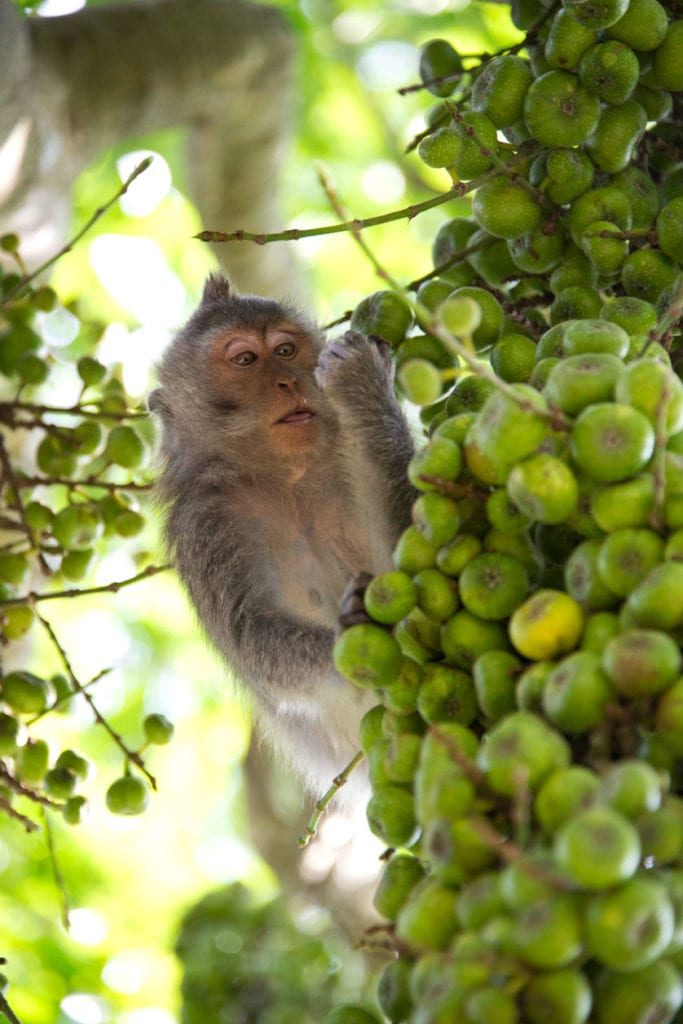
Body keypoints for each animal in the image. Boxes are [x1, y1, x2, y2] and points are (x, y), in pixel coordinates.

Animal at [150, 276, 417, 802]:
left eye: (286, 349)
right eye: (246, 359)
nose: (290, 381)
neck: (286, 478)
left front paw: (360, 382)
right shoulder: (205, 526)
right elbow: (251, 633)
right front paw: (350, 626)